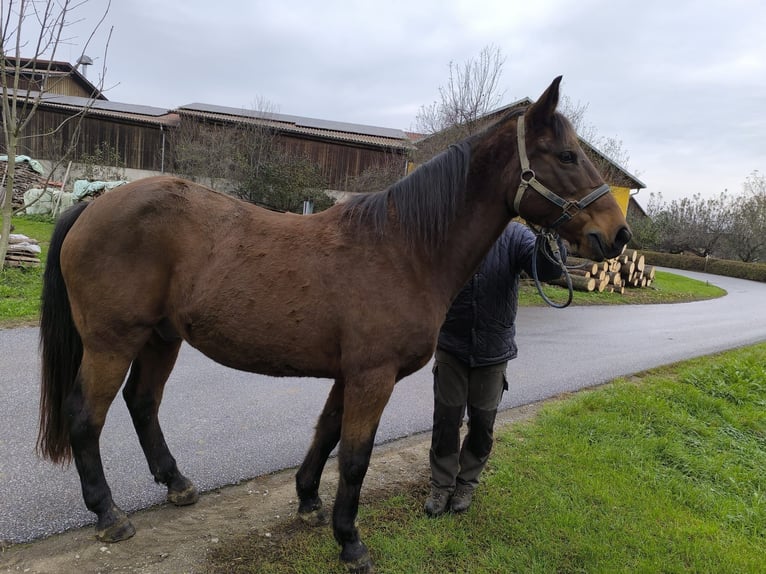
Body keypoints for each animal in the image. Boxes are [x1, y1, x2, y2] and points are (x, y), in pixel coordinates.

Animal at [37, 77, 632, 574]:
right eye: (567, 156)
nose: (618, 234)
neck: (403, 249)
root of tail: (94, 204)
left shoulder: (351, 374)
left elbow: (325, 435)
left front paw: (308, 501)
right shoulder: (373, 376)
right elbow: (354, 457)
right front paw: (351, 543)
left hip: (162, 337)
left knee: (143, 403)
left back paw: (177, 483)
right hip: (113, 342)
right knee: (86, 416)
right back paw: (109, 515)